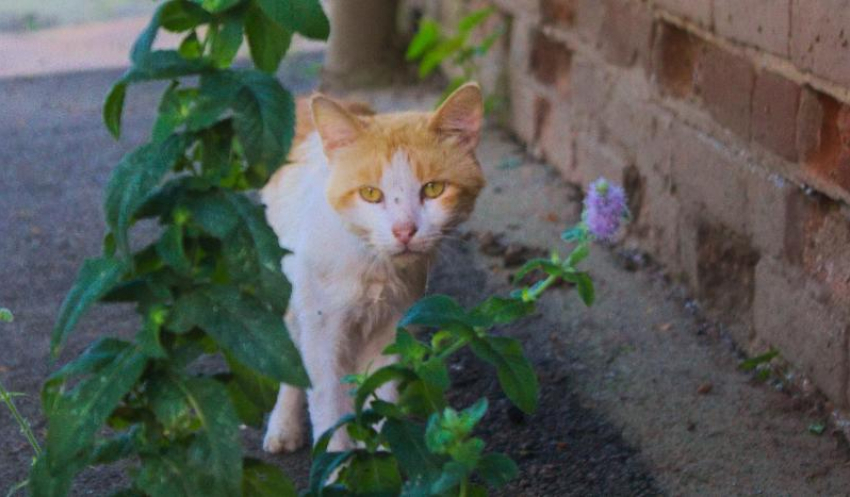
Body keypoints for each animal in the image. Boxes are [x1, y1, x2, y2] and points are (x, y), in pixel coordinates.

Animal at [258, 83, 484, 452]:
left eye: (434, 189)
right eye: (370, 194)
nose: (404, 230)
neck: (373, 263)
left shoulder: (393, 332)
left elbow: (382, 399)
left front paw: (383, 455)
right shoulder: (322, 335)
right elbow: (327, 409)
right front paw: (339, 463)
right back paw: (283, 426)